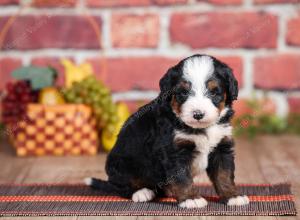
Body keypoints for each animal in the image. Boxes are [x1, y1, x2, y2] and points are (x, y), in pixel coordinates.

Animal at [85, 54, 250, 208]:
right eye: (183, 93)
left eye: (214, 92)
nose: (198, 114)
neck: (201, 129)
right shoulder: (174, 152)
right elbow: (183, 178)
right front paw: (191, 199)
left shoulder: (222, 147)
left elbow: (224, 175)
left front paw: (232, 196)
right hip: (121, 164)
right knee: (120, 186)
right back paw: (142, 192)